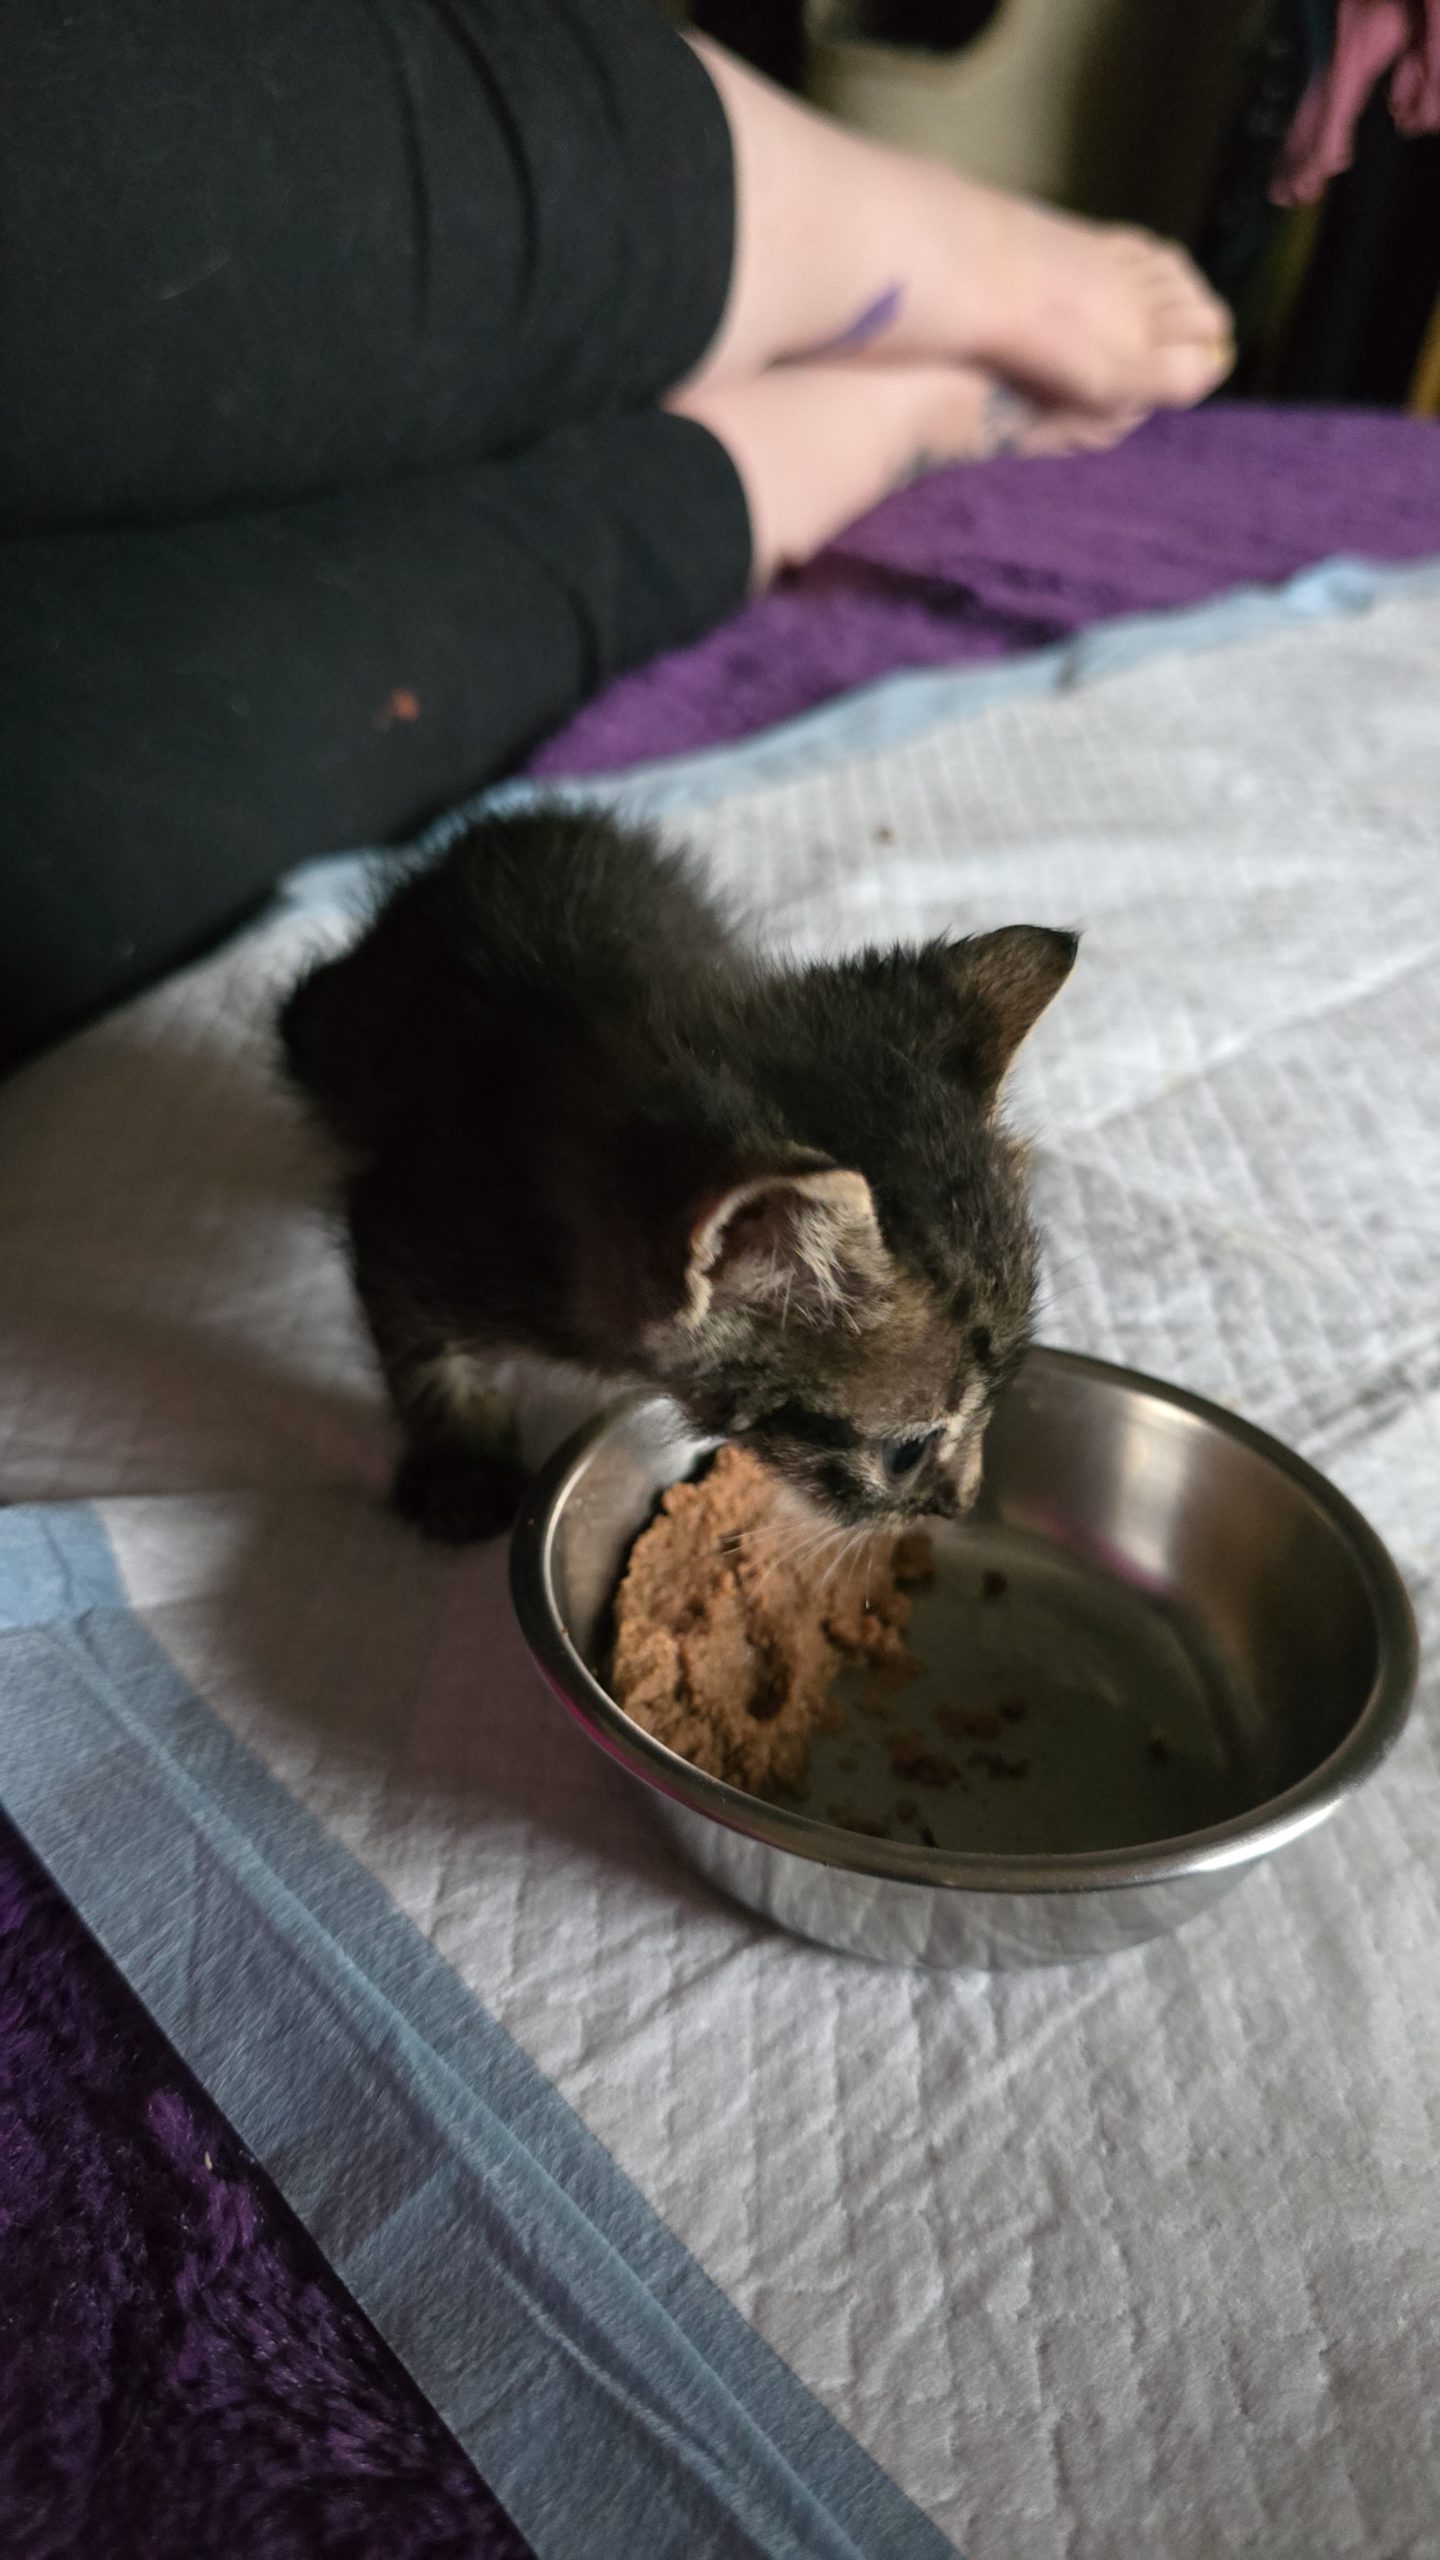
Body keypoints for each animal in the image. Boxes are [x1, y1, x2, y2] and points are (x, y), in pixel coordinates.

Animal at [278, 805, 1075, 1542]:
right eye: (906, 1453)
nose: (960, 1503)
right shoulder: (414, 1220)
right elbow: (420, 1351)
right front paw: (460, 1467)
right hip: (332, 1034)